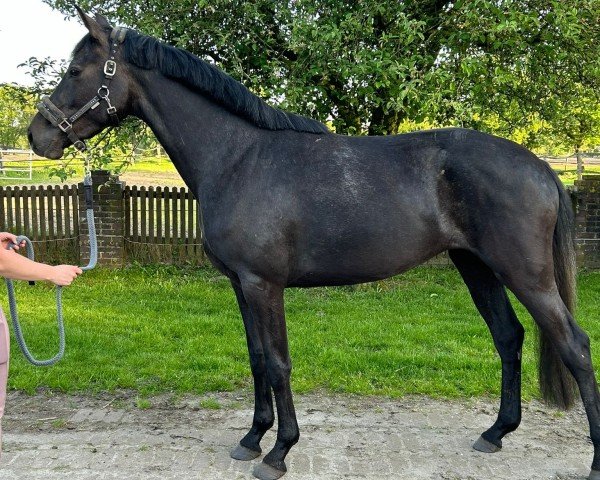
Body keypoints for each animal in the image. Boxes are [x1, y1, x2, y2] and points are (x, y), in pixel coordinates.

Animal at [27, 8, 600, 480]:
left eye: (77, 71)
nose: (38, 137)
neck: (238, 159)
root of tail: (541, 168)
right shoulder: (241, 286)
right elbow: (258, 358)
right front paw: (251, 439)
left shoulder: (264, 285)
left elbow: (279, 362)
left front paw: (279, 453)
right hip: (476, 267)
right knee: (509, 337)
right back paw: (495, 433)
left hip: (525, 274)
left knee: (574, 344)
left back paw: (591, 460)